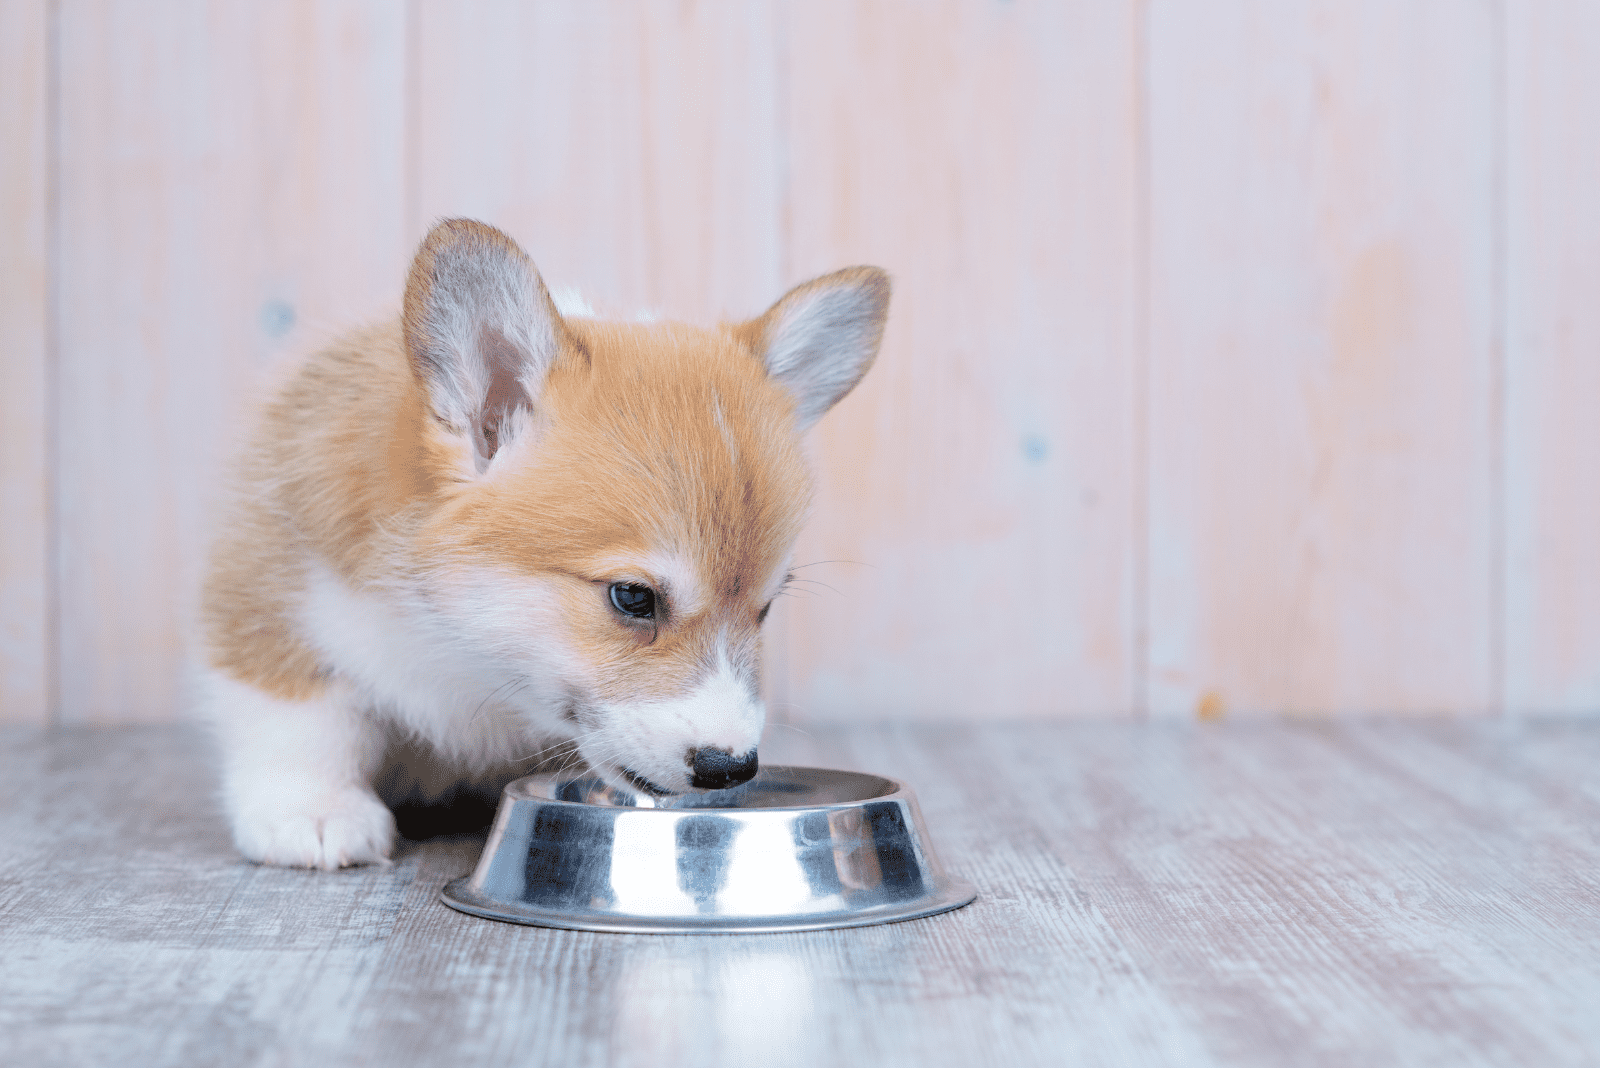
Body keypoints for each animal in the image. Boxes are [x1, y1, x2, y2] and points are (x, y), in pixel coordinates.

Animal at [198, 217, 889, 869]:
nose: (732, 769)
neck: (462, 656)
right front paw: (312, 810)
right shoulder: (276, 591)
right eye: (633, 597)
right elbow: (301, 717)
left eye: (766, 608)